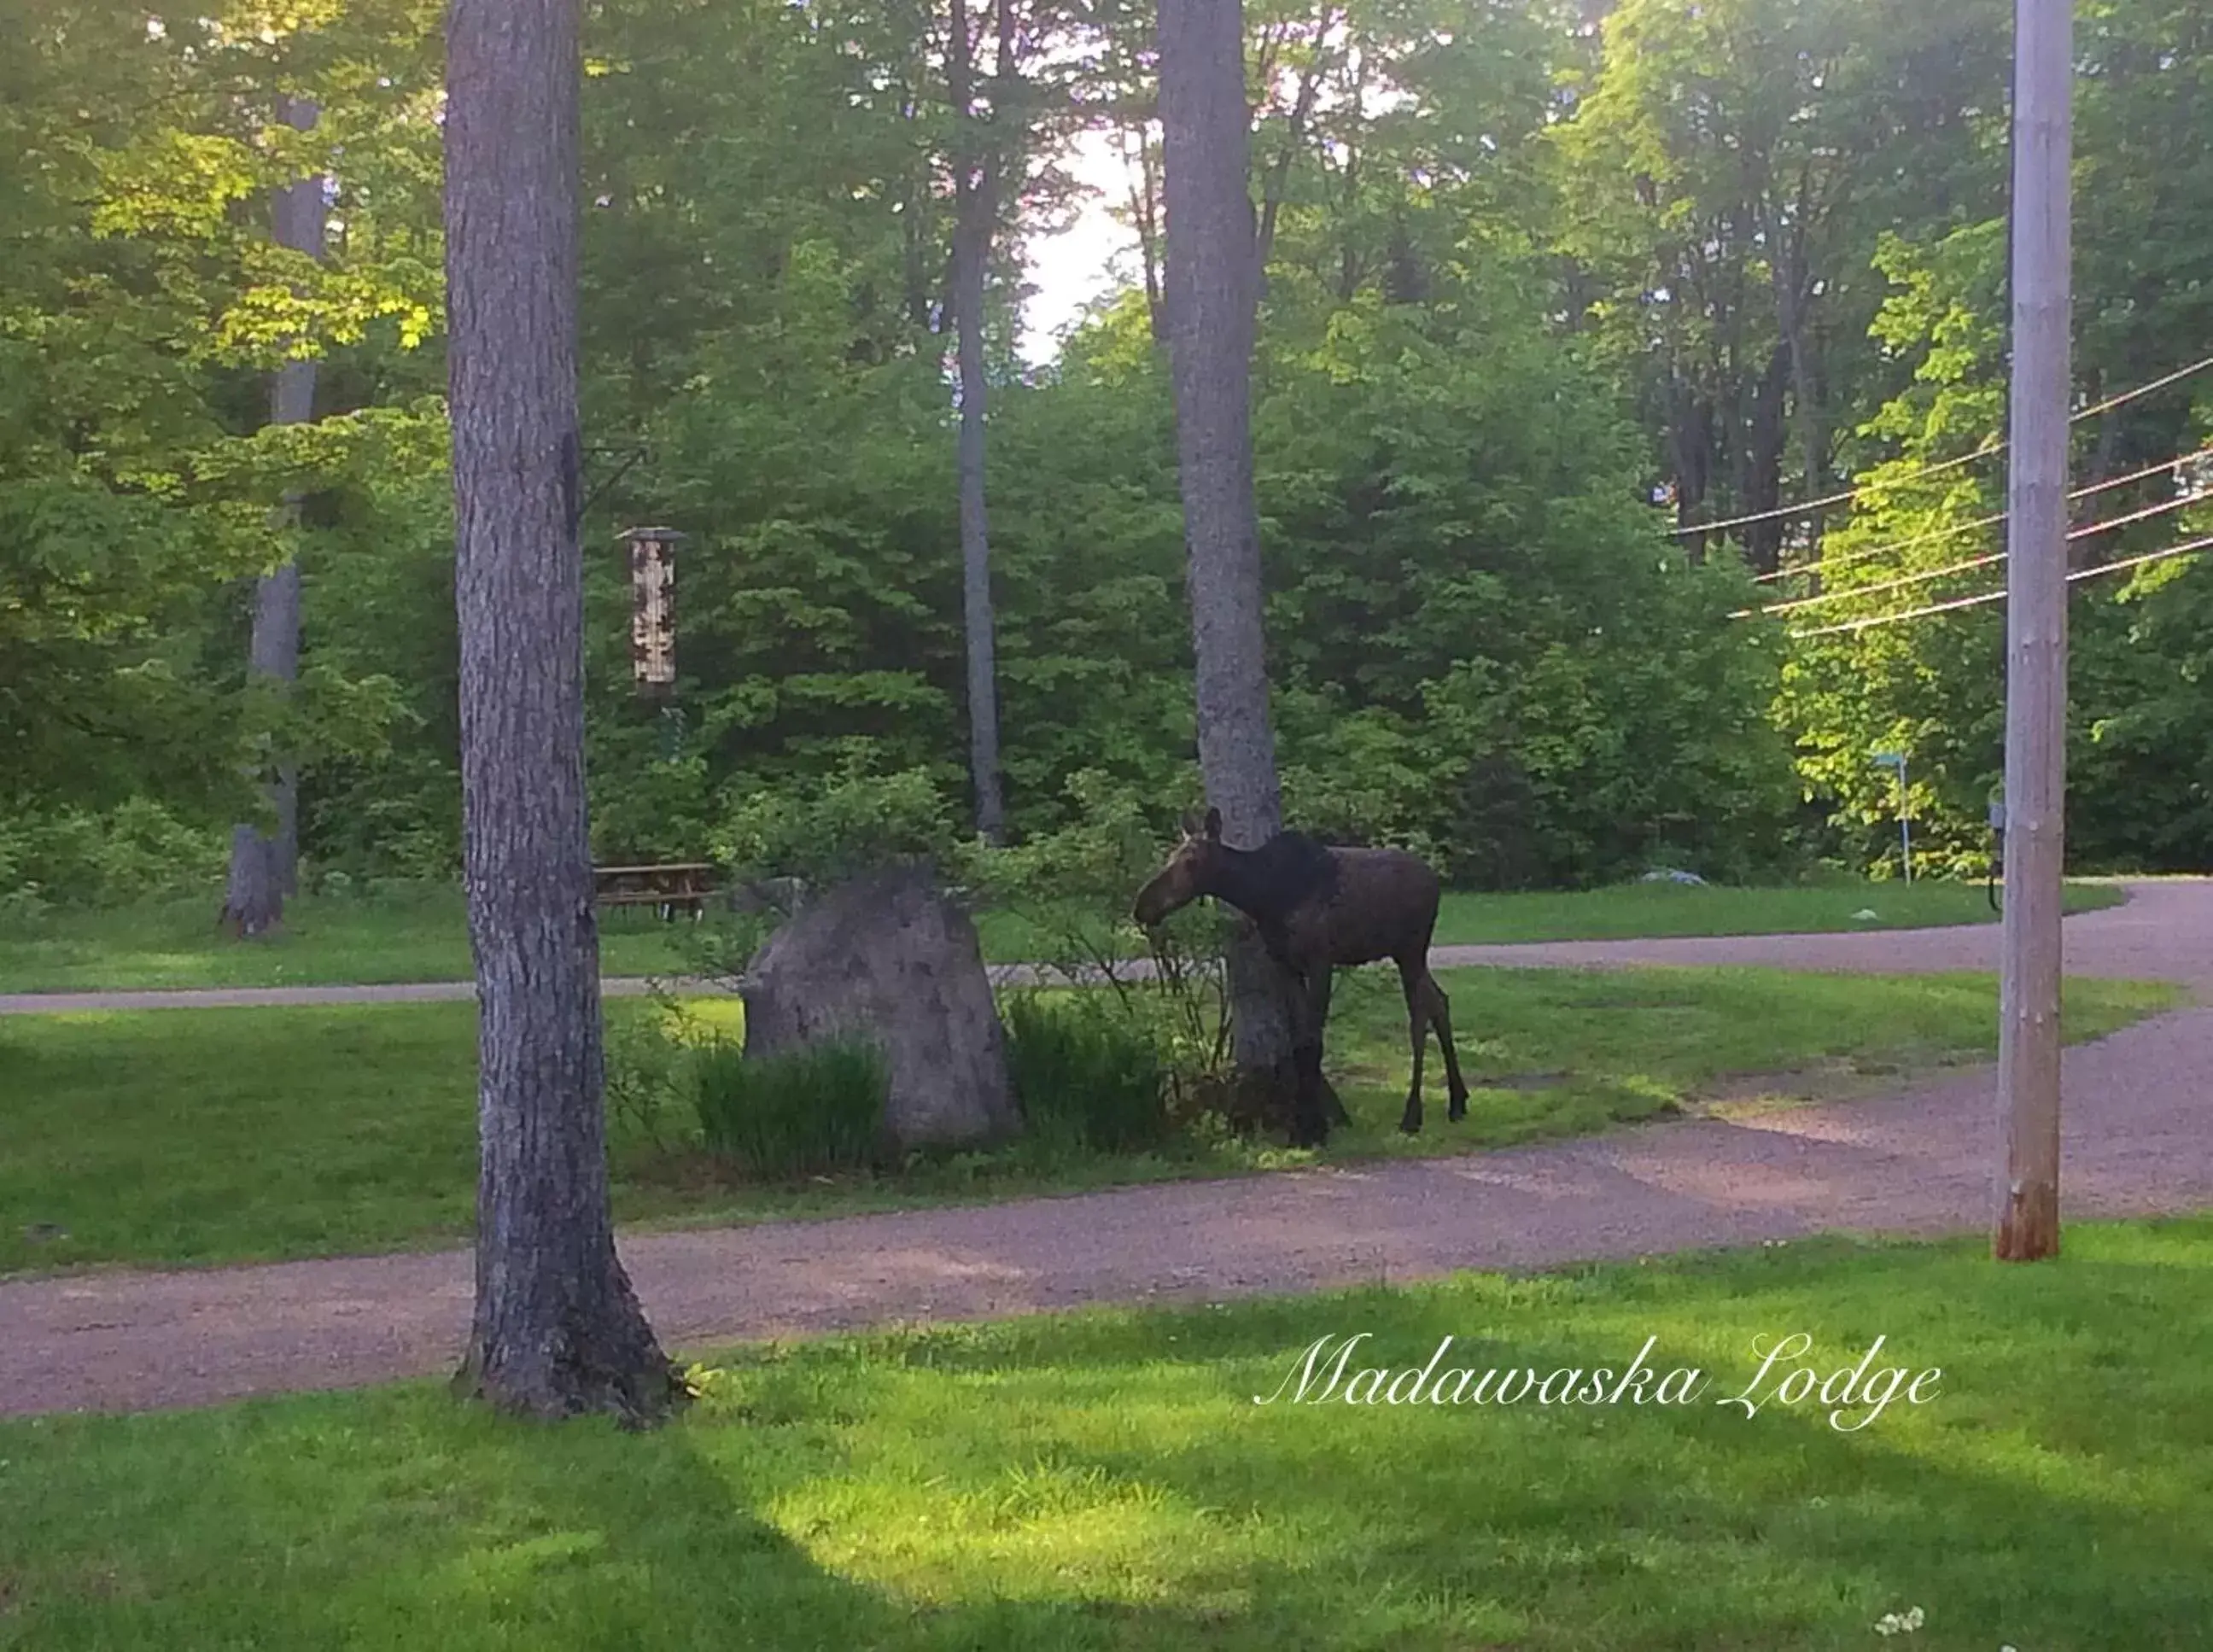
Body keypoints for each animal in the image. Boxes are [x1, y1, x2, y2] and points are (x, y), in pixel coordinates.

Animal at [1142, 804, 1469, 1141]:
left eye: (1191, 861)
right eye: (1170, 856)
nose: (1142, 905)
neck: (1262, 895)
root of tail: (1436, 884)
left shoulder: (1320, 960)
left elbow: (1313, 1042)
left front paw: (1315, 1127)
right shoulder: (1286, 964)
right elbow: (1299, 1042)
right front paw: (1304, 1123)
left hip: (1411, 951)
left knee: (1419, 1018)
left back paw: (1412, 1115)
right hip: (1409, 955)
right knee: (1439, 1001)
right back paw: (1457, 1101)